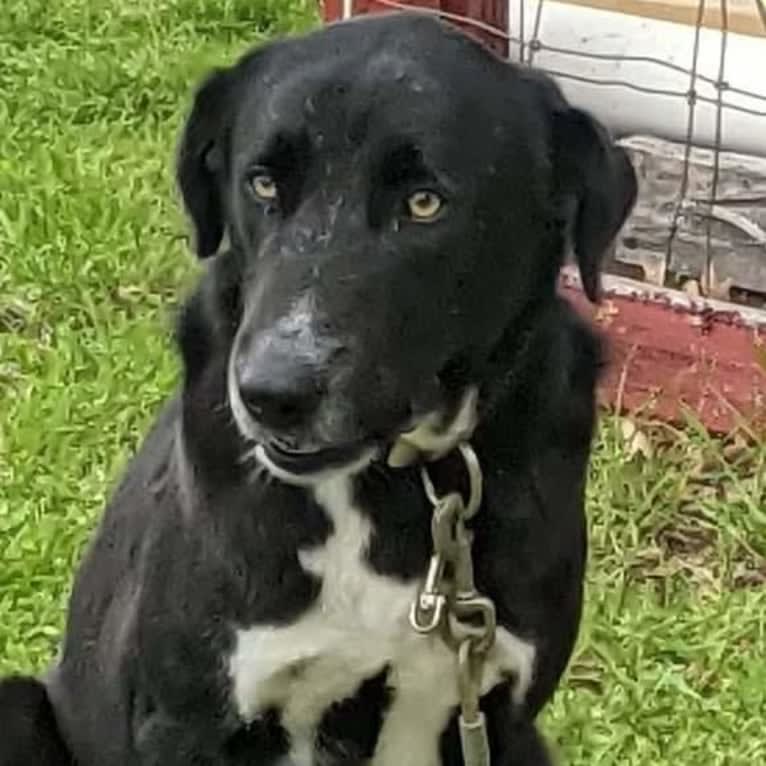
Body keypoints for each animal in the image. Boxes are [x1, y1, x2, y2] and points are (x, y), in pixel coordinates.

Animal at [0, 12, 636, 766]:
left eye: (425, 203)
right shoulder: (186, 720)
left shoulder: (500, 714)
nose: (272, 392)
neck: (394, 491)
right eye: (263, 185)